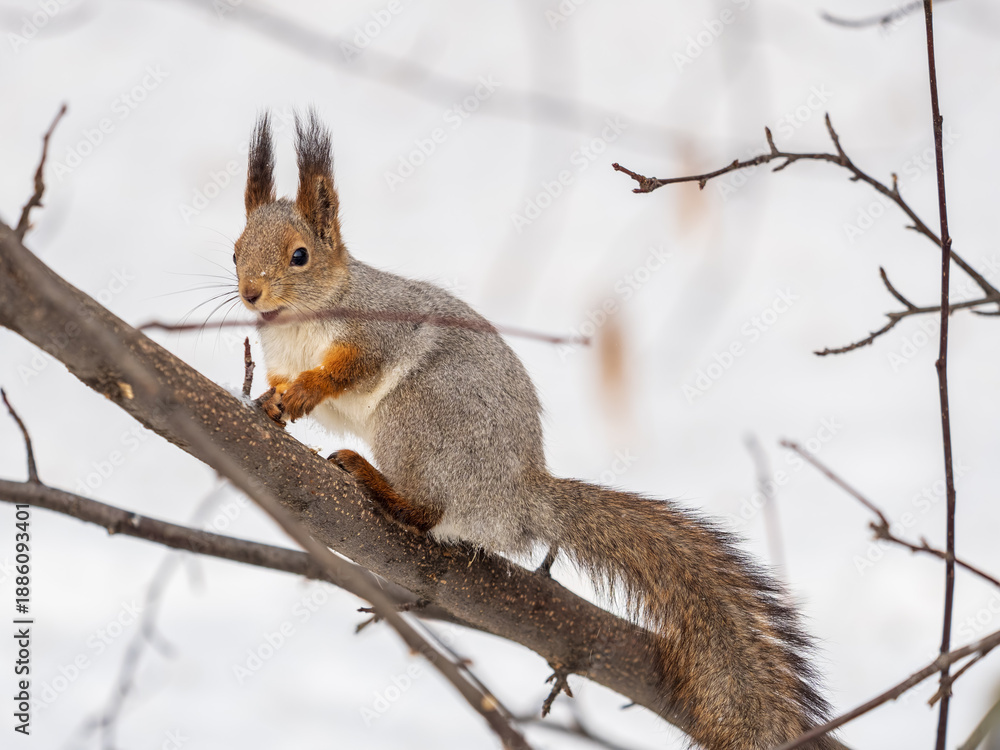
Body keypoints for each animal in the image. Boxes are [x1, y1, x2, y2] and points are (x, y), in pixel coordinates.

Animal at [232, 110, 835, 750]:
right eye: (236, 250)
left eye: (300, 256)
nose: (250, 294)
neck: (297, 324)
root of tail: (516, 497)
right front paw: (272, 402)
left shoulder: (380, 329)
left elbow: (349, 368)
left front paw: (306, 390)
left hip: (418, 419)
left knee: (426, 509)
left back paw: (376, 481)